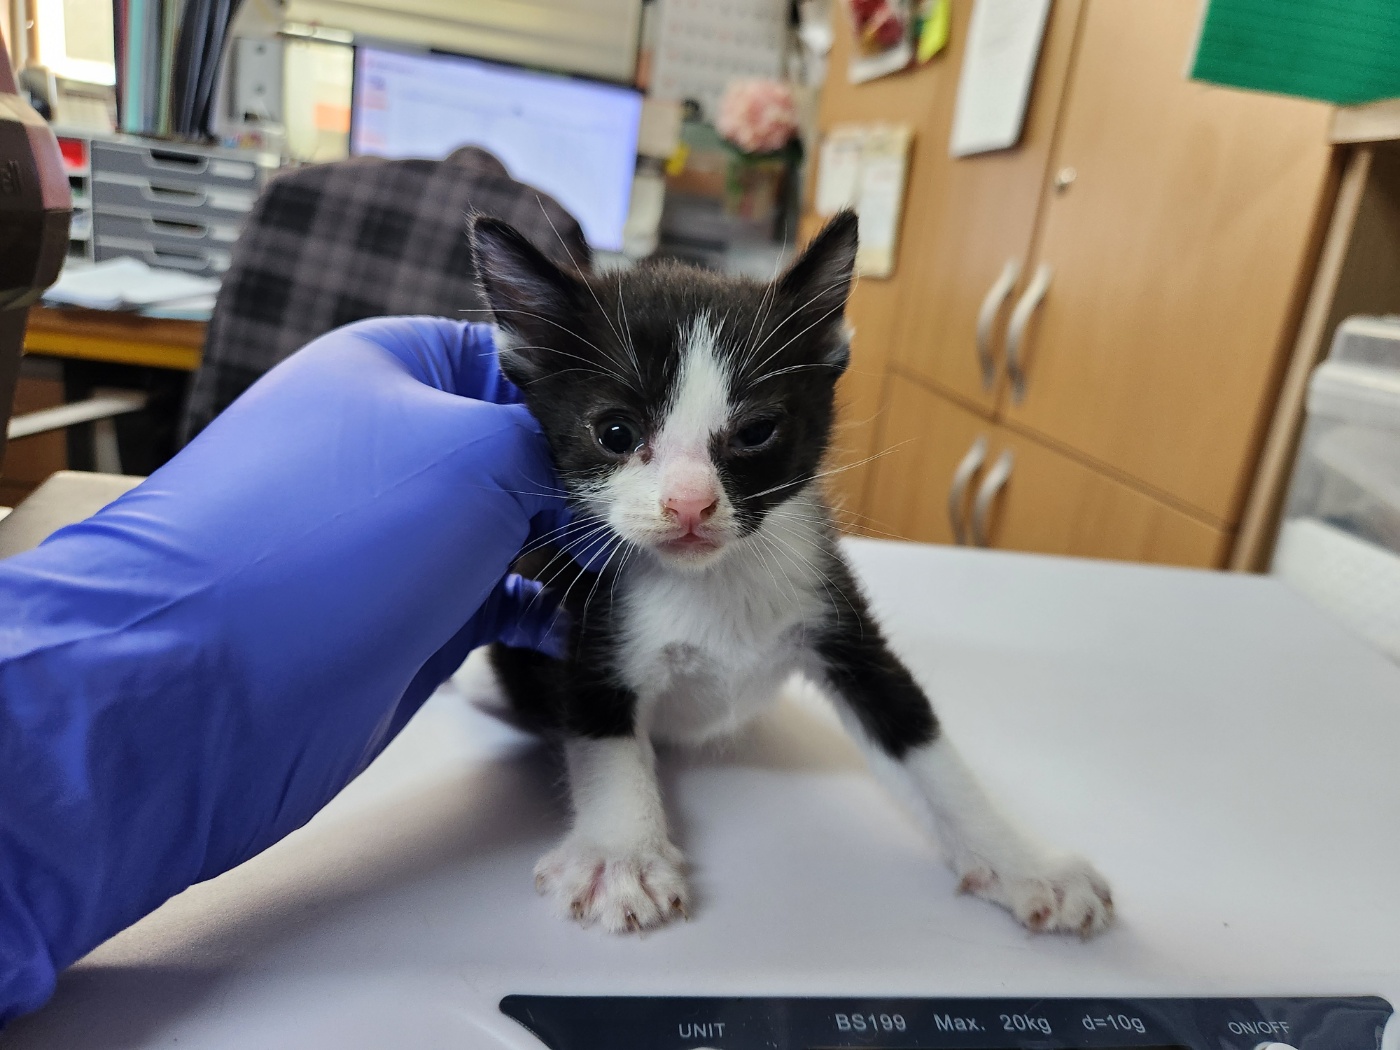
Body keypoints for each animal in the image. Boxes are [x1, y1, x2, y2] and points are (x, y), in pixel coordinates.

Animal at [476, 211, 1108, 935]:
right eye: (614, 432)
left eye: (756, 431)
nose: (689, 503)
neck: (713, 580)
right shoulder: (582, 604)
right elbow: (600, 728)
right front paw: (621, 856)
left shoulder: (834, 607)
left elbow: (919, 735)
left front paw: (1023, 861)